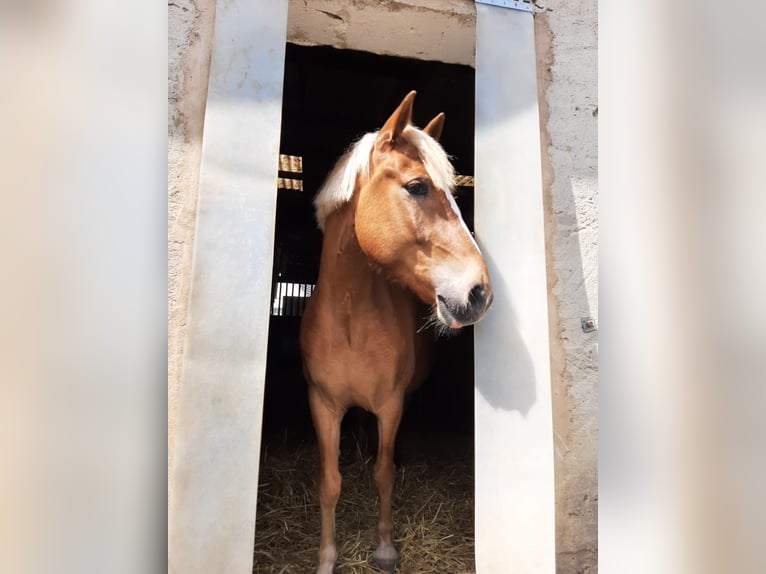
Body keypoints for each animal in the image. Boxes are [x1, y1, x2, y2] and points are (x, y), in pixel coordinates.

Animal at [299, 91, 493, 574]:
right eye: (417, 186)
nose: (480, 292)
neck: (350, 318)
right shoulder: (323, 406)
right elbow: (329, 481)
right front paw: (326, 558)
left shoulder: (390, 405)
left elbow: (383, 473)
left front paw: (385, 548)